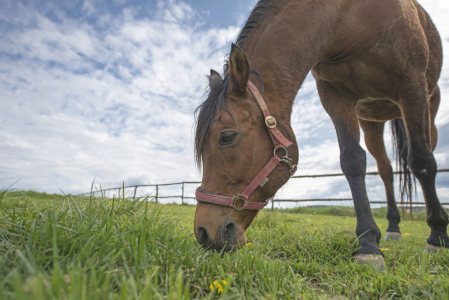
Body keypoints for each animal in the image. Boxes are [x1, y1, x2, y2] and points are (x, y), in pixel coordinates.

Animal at [192, 0, 444, 268]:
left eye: (227, 137)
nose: (203, 233)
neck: (349, 18)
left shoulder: (412, 85)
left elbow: (422, 162)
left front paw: (438, 236)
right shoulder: (334, 95)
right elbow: (352, 161)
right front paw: (368, 243)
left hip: (427, 106)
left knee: (424, 156)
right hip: (371, 122)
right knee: (385, 170)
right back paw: (393, 228)